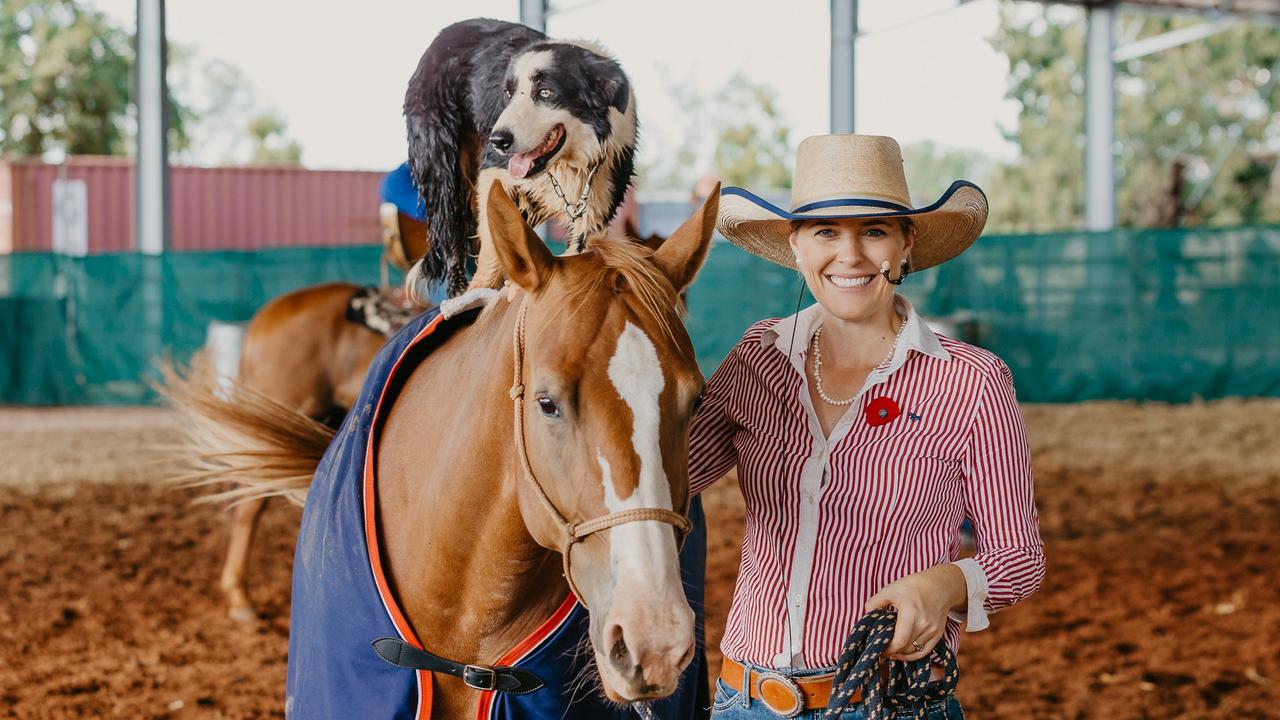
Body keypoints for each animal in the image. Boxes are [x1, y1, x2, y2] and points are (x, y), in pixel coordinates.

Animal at [404, 18, 634, 297]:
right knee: (451, 231)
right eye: (508, 94)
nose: (498, 141)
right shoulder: (493, 170)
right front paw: (479, 290)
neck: (567, 163)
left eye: (546, 92)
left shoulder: (598, 200)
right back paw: (457, 291)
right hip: (442, 167)